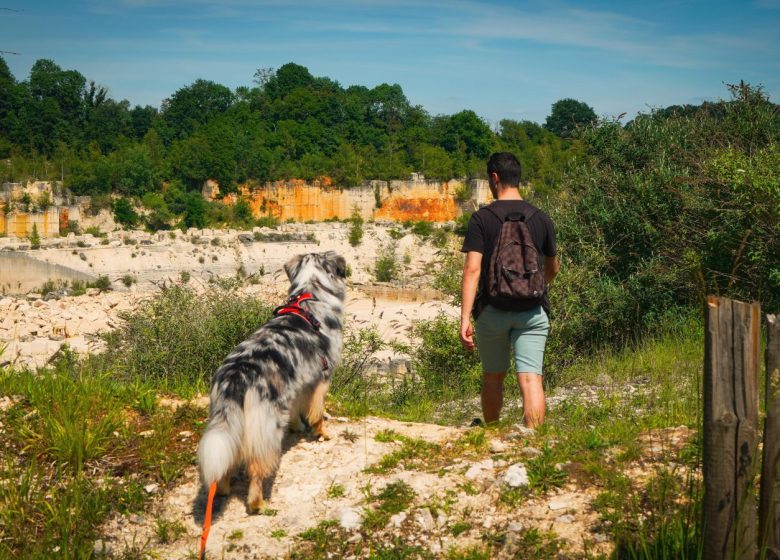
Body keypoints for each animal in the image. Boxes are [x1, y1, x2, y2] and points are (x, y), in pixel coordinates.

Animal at [198, 252, 348, 516]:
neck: (311, 294)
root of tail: (237, 375)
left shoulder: (299, 382)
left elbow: (297, 411)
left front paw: (298, 427)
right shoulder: (322, 377)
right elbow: (318, 412)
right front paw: (322, 433)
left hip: (226, 419)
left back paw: (223, 488)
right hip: (267, 427)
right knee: (256, 469)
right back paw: (259, 504)